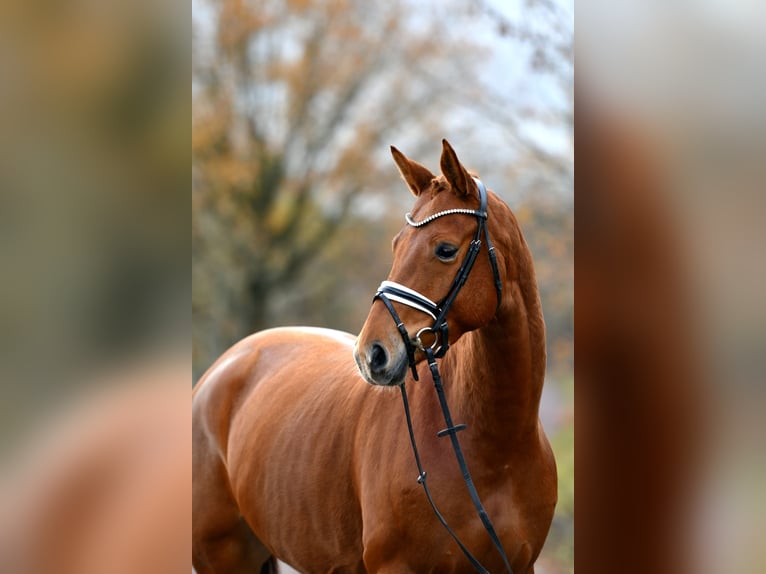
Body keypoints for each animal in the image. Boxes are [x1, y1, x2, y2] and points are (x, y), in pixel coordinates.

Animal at [192, 139, 557, 573]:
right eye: (396, 245)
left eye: (445, 250)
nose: (373, 354)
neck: (496, 449)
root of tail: (223, 366)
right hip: (222, 555)